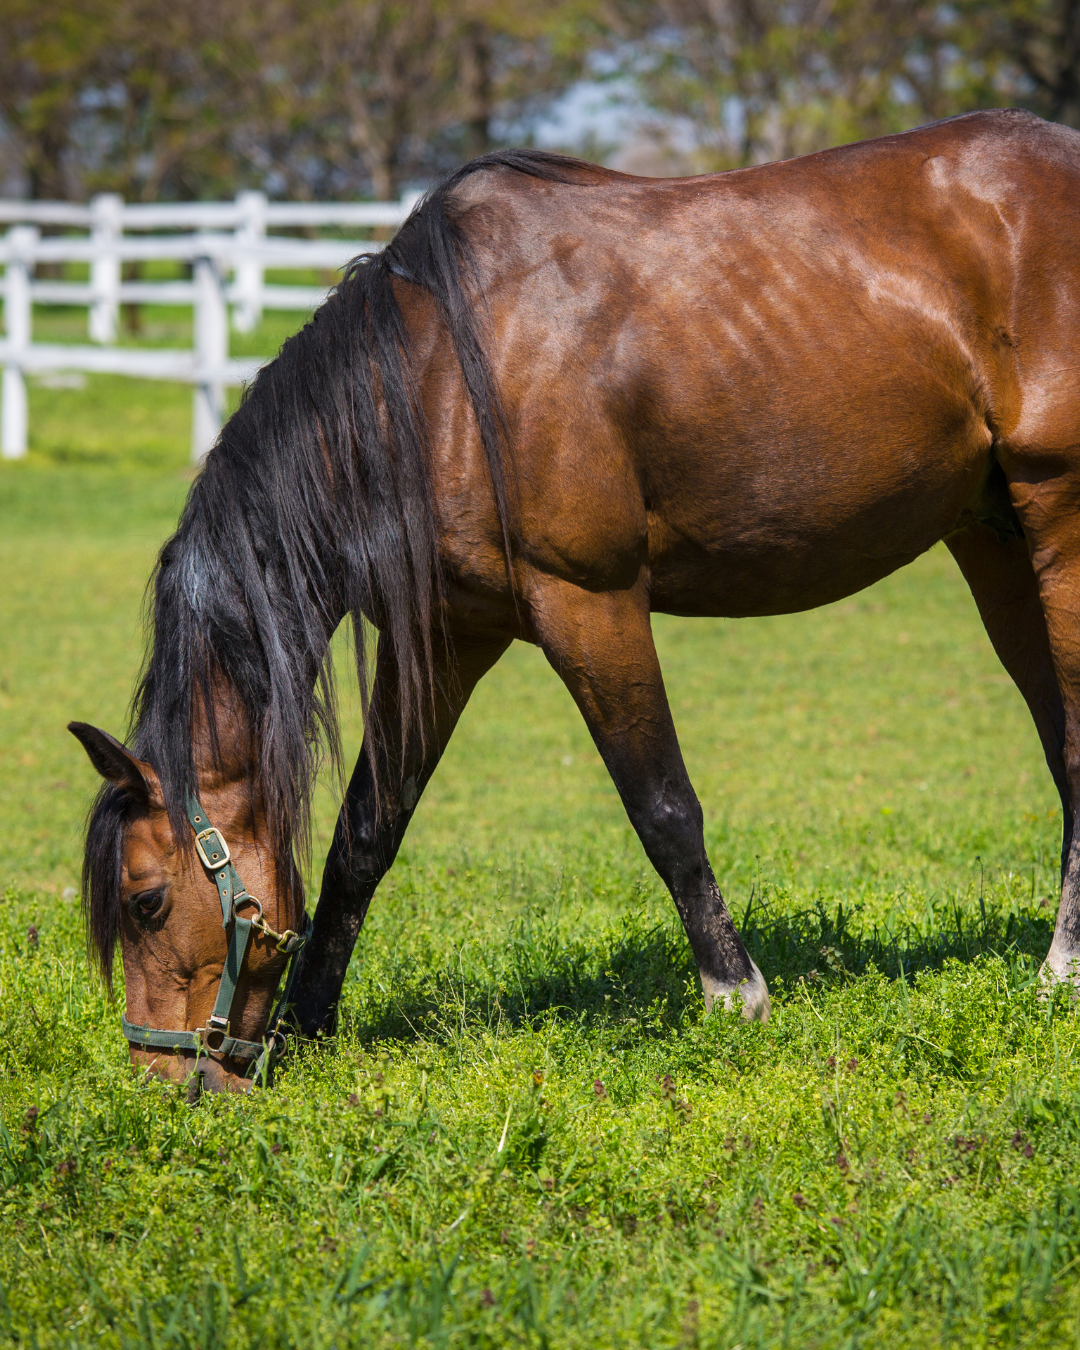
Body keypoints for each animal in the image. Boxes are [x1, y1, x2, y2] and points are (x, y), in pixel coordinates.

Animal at [70, 107, 1080, 1094]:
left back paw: (1058, 973)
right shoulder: (449, 638)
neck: (433, 382)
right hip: (992, 537)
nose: (161, 1082)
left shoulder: (589, 603)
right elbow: (366, 834)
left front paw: (735, 998)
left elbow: (663, 807)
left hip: (1057, 520)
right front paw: (312, 1027)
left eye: (145, 900)